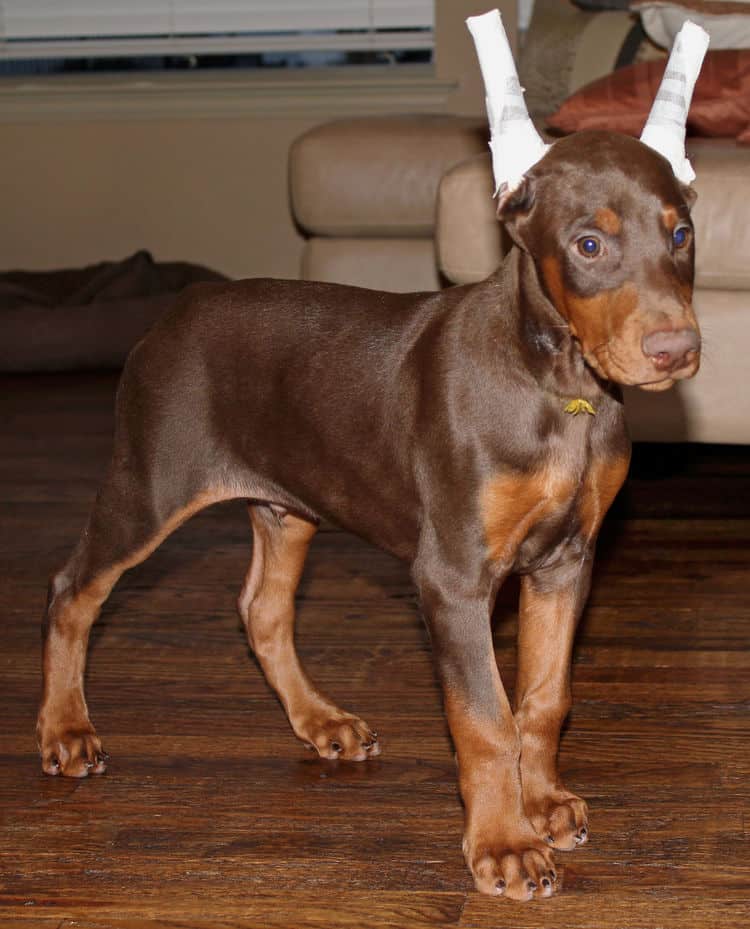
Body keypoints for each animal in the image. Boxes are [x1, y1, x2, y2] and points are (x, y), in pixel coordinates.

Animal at [36, 130, 704, 900]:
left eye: (681, 233)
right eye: (588, 244)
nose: (677, 350)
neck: (557, 387)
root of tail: (178, 310)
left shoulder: (565, 563)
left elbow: (543, 698)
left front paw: (541, 803)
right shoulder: (452, 577)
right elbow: (485, 719)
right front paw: (504, 843)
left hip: (288, 504)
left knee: (261, 610)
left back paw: (321, 720)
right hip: (151, 484)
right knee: (73, 589)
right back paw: (64, 730)